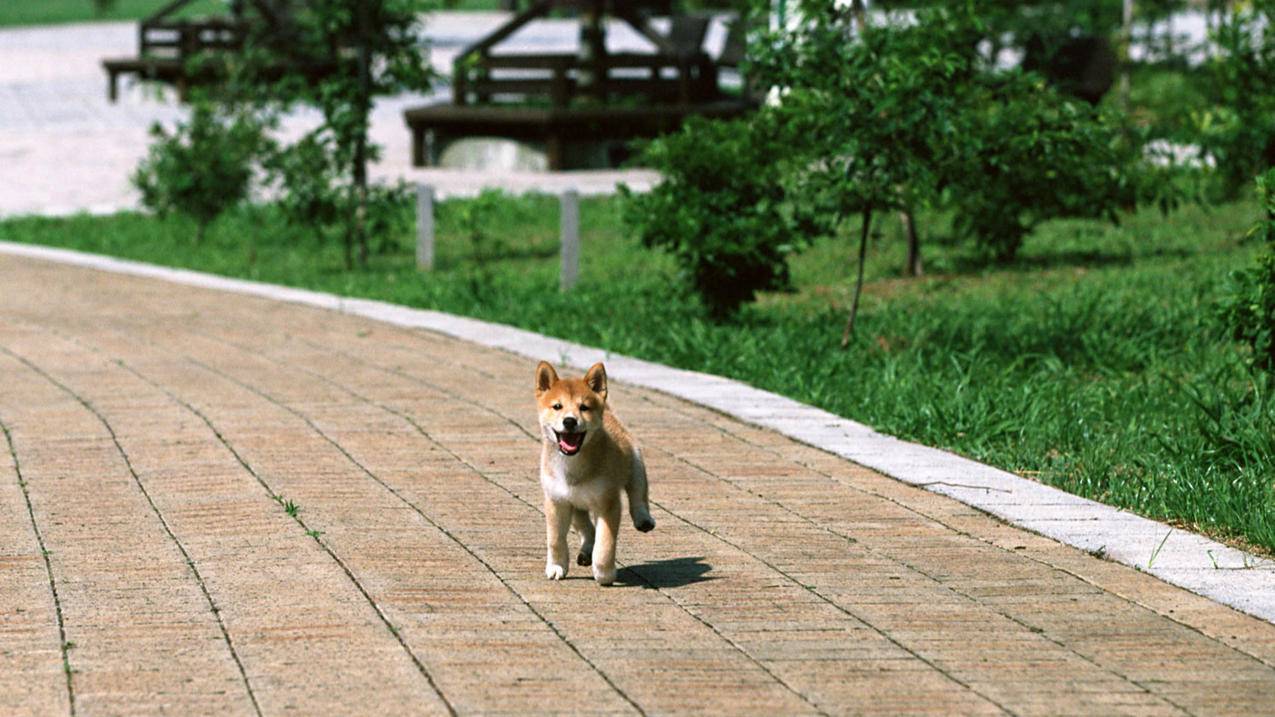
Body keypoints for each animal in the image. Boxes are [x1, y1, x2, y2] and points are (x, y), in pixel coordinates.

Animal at [535, 359, 657, 584]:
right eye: (557, 406)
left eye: (584, 407)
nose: (569, 421)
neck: (573, 466)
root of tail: (607, 411)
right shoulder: (557, 502)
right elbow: (555, 539)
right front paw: (556, 566)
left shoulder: (608, 503)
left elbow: (605, 543)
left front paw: (604, 573)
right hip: (575, 505)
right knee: (587, 529)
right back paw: (585, 552)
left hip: (635, 464)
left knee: (638, 495)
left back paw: (643, 519)